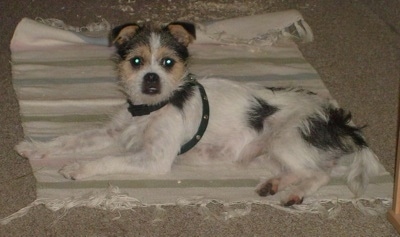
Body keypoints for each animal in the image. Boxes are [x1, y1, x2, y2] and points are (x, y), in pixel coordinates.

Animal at [16, 20, 384, 206]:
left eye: (168, 62)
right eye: (136, 61)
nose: (151, 78)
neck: (152, 108)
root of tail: (335, 118)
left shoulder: (154, 159)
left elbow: (107, 159)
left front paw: (79, 168)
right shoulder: (112, 132)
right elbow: (71, 138)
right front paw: (36, 148)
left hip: (286, 141)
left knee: (320, 174)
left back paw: (295, 193)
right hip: (270, 153)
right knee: (307, 169)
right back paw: (274, 185)